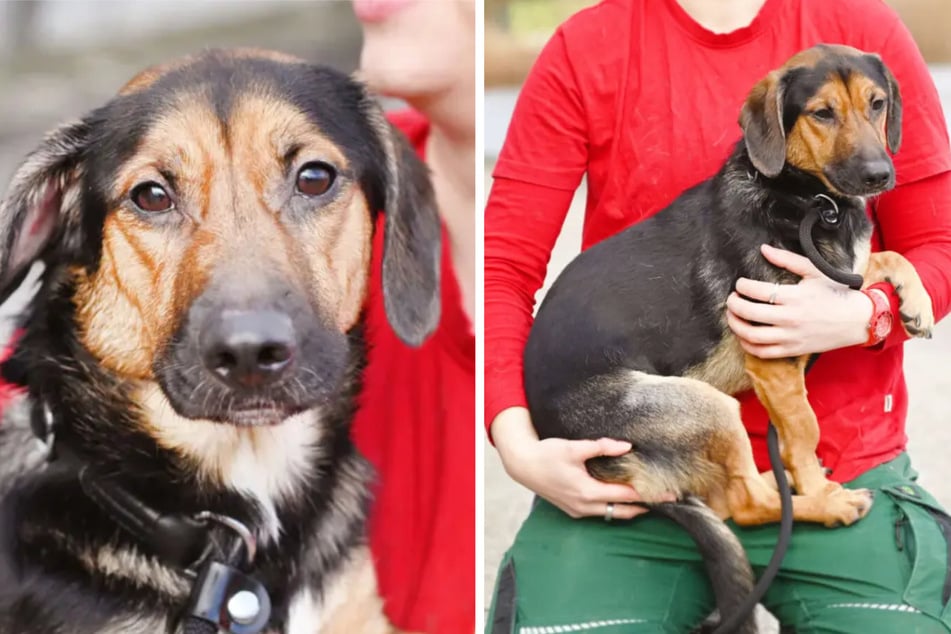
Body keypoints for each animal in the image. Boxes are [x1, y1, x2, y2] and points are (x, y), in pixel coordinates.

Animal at [524, 43, 932, 628]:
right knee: (747, 504)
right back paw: (826, 504)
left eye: (877, 104)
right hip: (706, 405)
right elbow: (803, 430)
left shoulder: (838, 279)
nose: (879, 174)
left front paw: (917, 302)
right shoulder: (772, 356)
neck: (806, 198)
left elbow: (884, 257)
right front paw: (818, 486)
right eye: (822, 113)